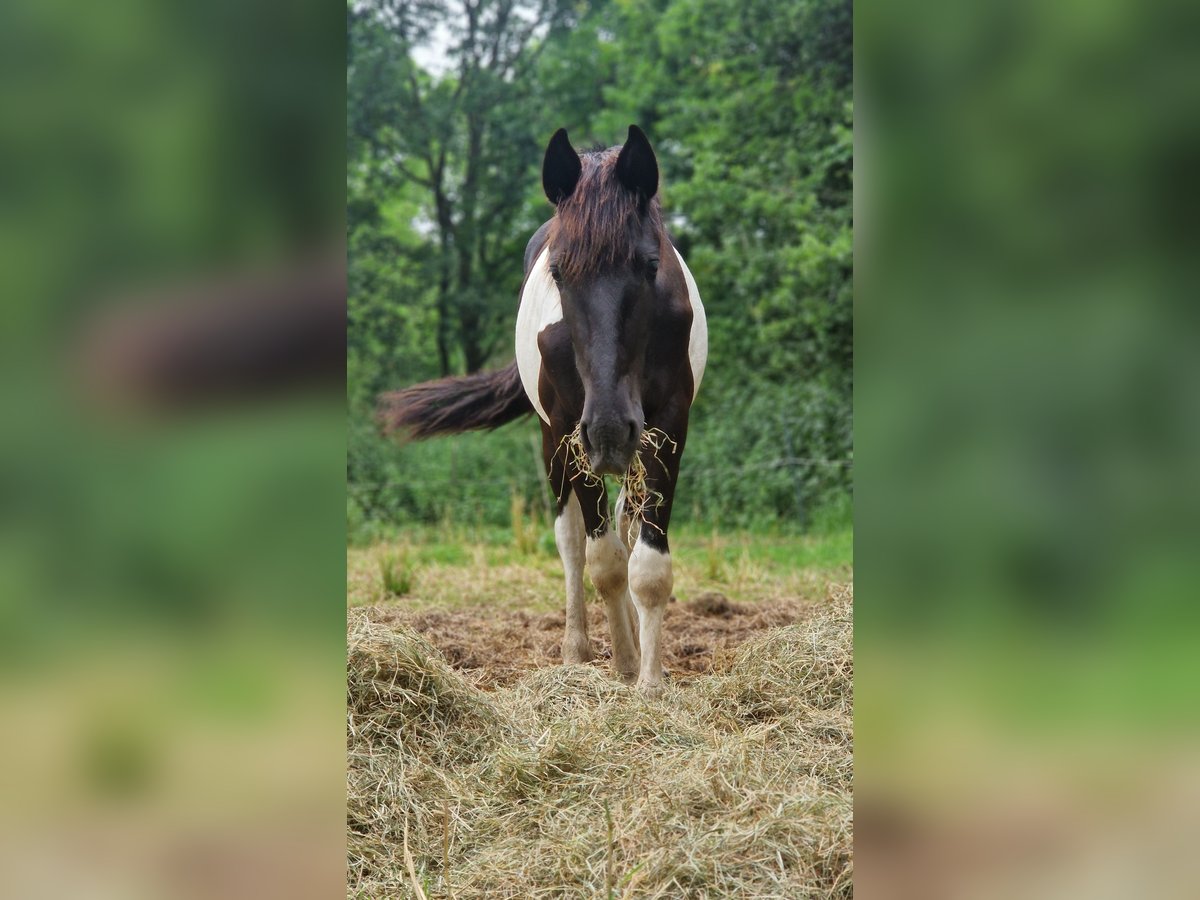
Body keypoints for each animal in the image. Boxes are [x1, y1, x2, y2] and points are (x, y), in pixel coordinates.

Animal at [379, 125, 705, 696]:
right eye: (558, 271)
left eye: (649, 265)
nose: (610, 430)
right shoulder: (575, 435)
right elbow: (603, 563)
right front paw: (624, 666)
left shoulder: (667, 428)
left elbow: (647, 565)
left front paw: (651, 682)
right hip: (555, 443)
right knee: (572, 541)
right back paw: (578, 651)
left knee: (624, 526)